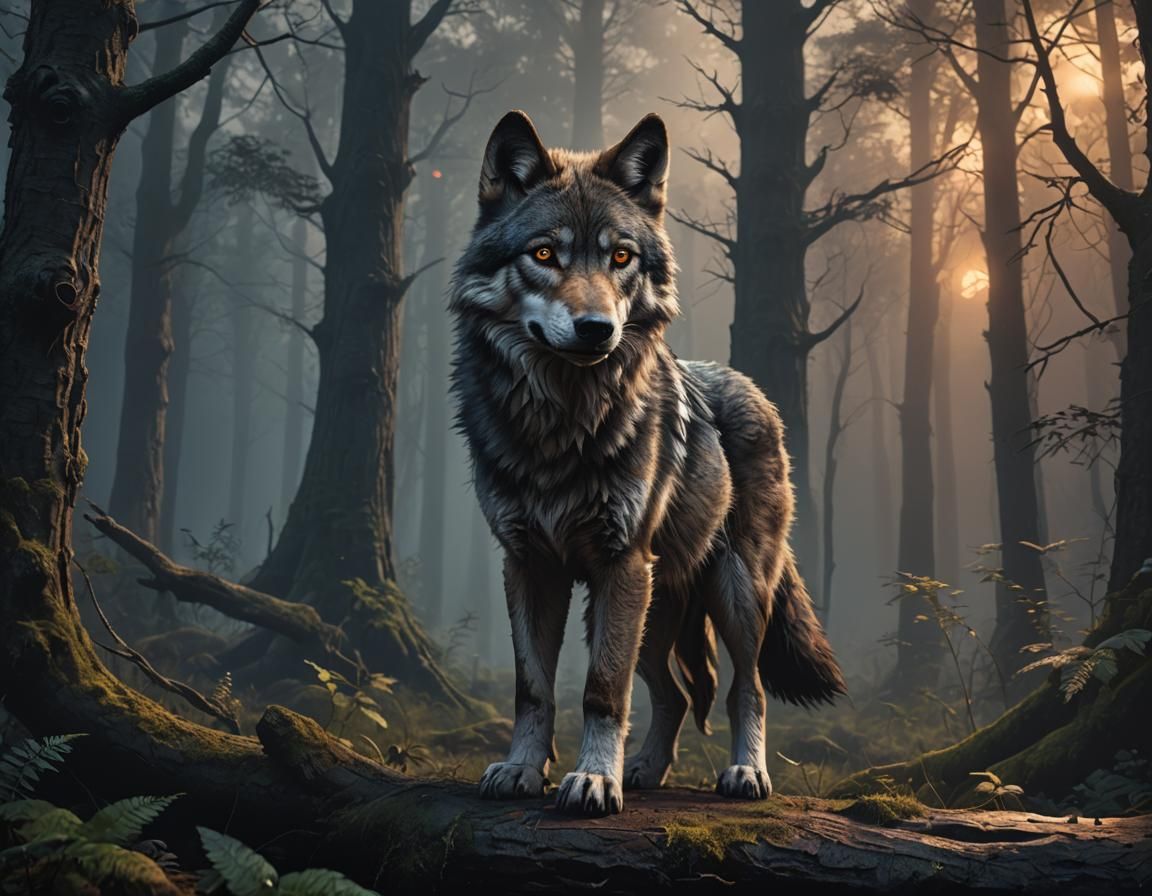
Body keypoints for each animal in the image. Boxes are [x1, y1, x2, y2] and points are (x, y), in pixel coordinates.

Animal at [450, 110, 846, 817]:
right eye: (544, 254)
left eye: (621, 257)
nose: (596, 329)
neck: (562, 423)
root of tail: (752, 389)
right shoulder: (528, 565)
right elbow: (533, 689)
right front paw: (523, 769)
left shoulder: (620, 563)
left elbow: (602, 692)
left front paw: (591, 780)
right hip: (654, 608)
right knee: (681, 692)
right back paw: (646, 769)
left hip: (731, 591)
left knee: (745, 687)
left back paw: (745, 774)